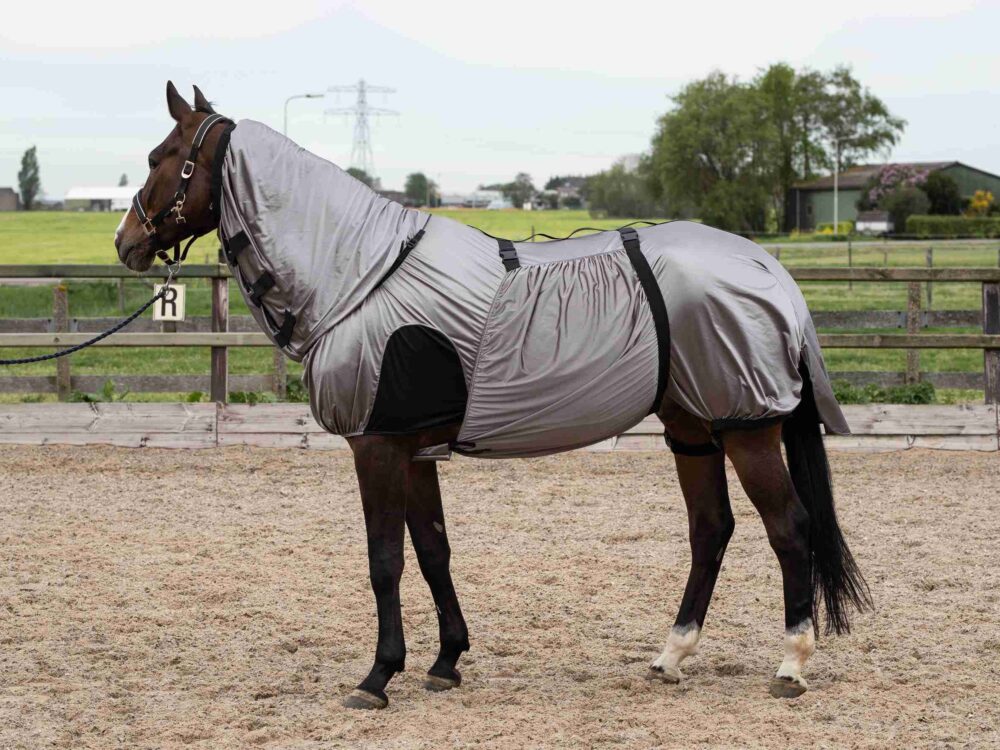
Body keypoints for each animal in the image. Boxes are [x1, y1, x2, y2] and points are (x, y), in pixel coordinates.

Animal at [114, 82, 872, 710]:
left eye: (163, 156)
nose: (126, 243)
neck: (361, 275)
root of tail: (766, 267)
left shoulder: (376, 445)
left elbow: (384, 559)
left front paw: (378, 675)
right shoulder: (415, 449)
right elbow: (432, 549)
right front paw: (445, 660)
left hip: (747, 426)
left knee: (789, 528)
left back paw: (791, 664)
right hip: (692, 427)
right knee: (711, 529)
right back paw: (671, 655)